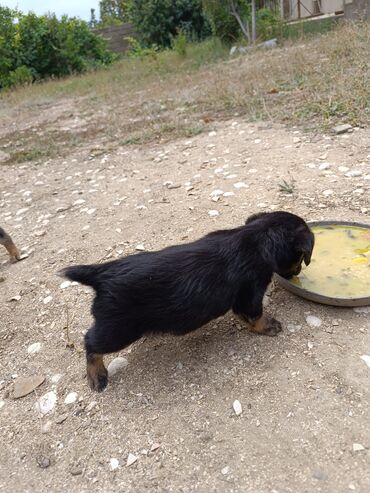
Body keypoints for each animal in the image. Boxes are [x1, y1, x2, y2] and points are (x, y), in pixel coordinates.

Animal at [61, 211, 316, 392]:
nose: (297, 273)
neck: (259, 236)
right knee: (90, 343)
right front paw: (270, 326)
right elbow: (255, 316)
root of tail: (101, 274)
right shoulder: (250, 294)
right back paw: (97, 377)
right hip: (117, 329)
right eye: (301, 257)